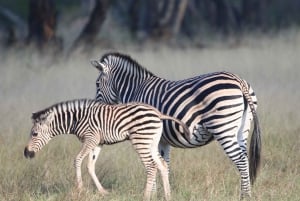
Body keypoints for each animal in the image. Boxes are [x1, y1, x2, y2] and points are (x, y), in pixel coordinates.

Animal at [24, 99, 190, 201]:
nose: (26, 153)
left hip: (141, 140)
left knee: (151, 166)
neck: (76, 120)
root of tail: (157, 112)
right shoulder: (97, 143)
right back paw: (168, 196)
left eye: (34, 134)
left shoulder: (90, 138)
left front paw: (80, 189)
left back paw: (145, 197)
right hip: (152, 142)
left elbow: (77, 160)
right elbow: (90, 166)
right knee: (162, 165)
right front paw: (103, 192)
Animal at [91, 52, 260, 199]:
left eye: (97, 84)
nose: (97, 110)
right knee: (245, 158)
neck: (136, 89)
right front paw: (162, 195)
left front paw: (152, 195)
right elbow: (165, 165)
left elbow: (155, 165)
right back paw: (246, 194)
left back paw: (245, 197)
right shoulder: (162, 140)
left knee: (240, 160)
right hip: (242, 128)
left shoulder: (148, 134)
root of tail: (239, 81)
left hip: (223, 127)